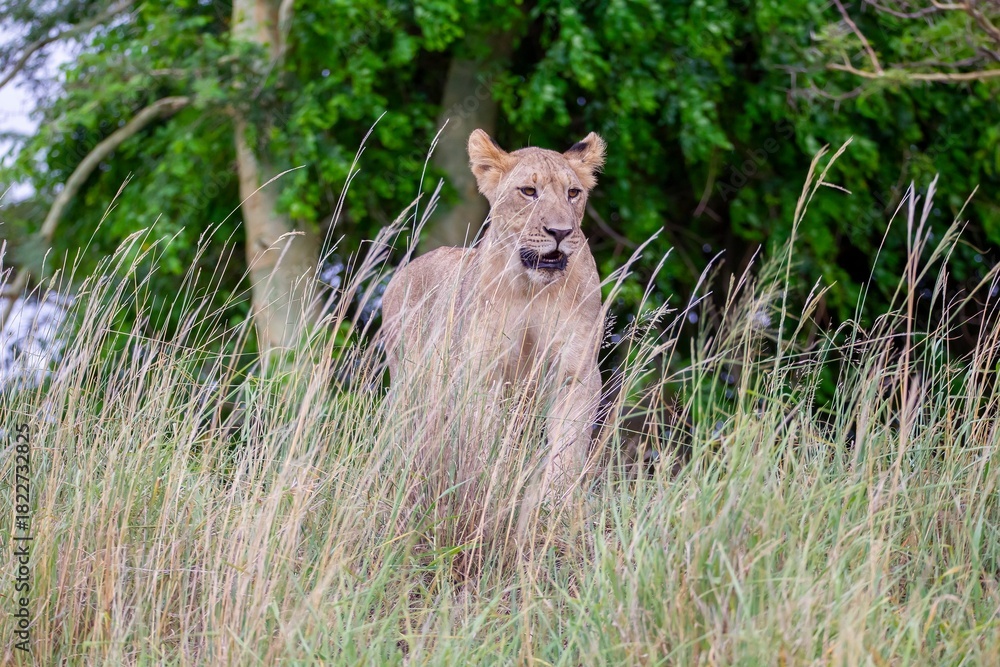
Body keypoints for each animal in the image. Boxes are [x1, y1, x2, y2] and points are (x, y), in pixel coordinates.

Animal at [380, 128, 608, 533]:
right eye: (529, 191)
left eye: (573, 193)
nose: (560, 232)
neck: (532, 288)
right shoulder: (483, 371)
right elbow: (486, 438)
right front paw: (491, 489)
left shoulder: (575, 371)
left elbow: (567, 444)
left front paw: (554, 506)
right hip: (410, 386)